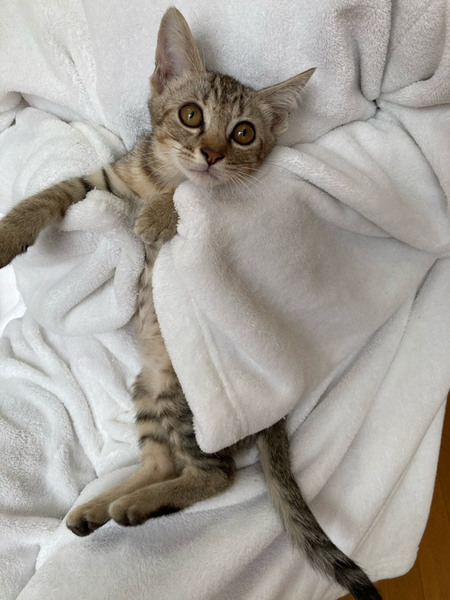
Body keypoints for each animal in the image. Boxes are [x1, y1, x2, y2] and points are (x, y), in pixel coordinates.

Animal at [0, 8, 382, 600]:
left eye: (244, 133)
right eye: (190, 115)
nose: (211, 154)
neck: (162, 172)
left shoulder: (226, 191)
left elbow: (192, 194)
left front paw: (160, 214)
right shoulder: (104, 180)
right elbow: (49, 195)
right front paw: (7, 233)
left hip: (191, 401)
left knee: (214, 474)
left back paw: (133, 506)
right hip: (149, 392)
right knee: (161, 463)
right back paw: (102, 505)